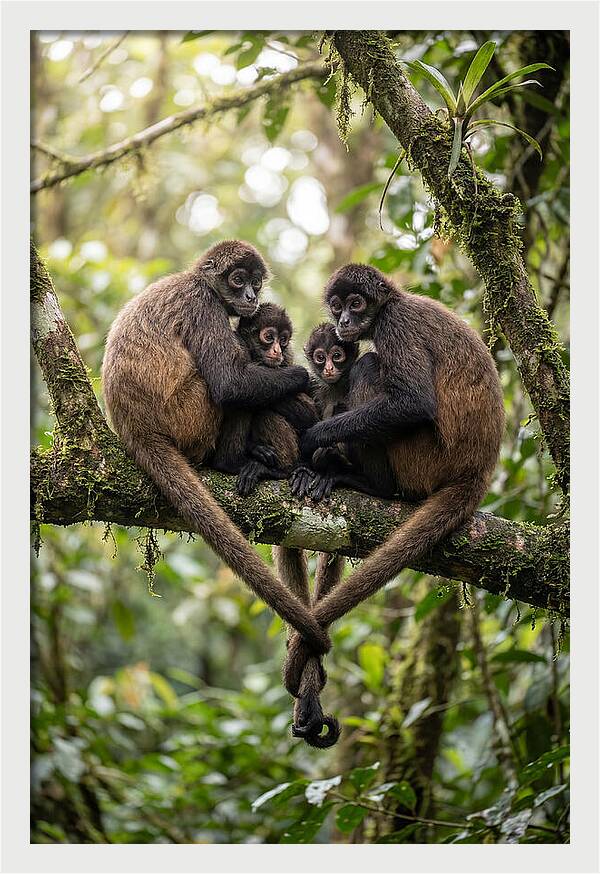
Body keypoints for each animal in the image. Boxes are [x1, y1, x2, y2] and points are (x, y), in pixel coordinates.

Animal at [101, 240, 331, 658]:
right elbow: (229, 383)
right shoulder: (203, 305)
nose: (251, 296)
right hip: (190, 416)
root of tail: (135, 428)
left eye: (256, 282)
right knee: (229, 389)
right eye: (238, 280)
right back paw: (234, 462)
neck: (197, 281)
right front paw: (302, 377)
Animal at [283, 262, 505, 704]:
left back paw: (367, 482)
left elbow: (413, 403)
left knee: (370, 365)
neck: (394, 302)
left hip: (423, 458)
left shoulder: (394, 324)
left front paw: (314, 440)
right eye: (337, 307)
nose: (344, 322)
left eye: (356, 304)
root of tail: (477, 470)